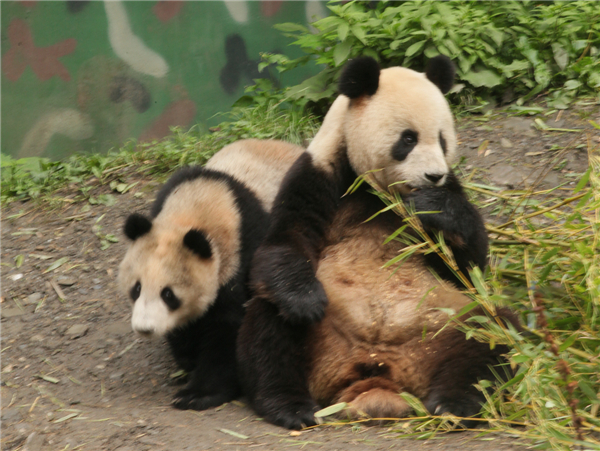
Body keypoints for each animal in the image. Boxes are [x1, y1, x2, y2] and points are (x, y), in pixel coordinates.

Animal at [118, 139, 304, 412]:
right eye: (137, 288)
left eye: (168, 295)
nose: (145, 328)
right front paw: (188, 357)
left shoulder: (243, 252)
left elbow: (228, 327)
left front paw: (197, 394)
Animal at [237, 57, 516, 430]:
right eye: (408, 139)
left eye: (442, 140)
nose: (434, 175)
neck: (383, 196)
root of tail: (378, 375)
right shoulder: (320, 174)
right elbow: (284, 243)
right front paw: (306, 300)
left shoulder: (448, 192)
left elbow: (469, 268)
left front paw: (432, 205)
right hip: (321, 339)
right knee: (269, 326)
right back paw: (289, 406)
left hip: (443, 325)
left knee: (490, 331)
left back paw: (454, 403)